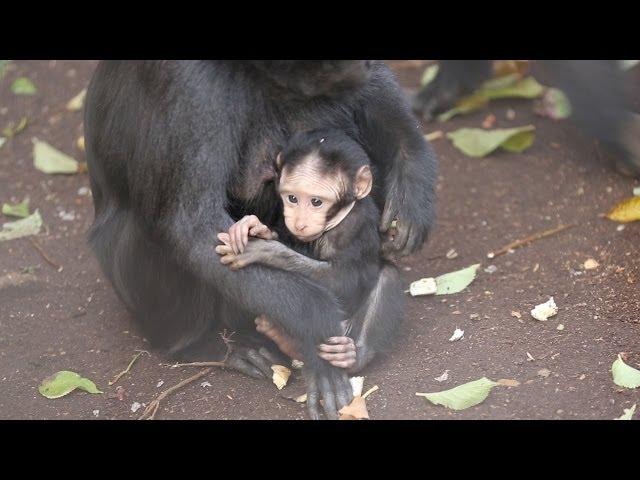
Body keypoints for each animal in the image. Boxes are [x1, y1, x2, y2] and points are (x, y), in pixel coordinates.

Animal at [218, 129, 402, 374]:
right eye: (292, 198)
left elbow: (343, 282)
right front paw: (254, 227)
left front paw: (265, 250)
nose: (300, 223)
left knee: (388, 275)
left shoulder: (354, 227)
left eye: (316, 202)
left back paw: (353, 356)